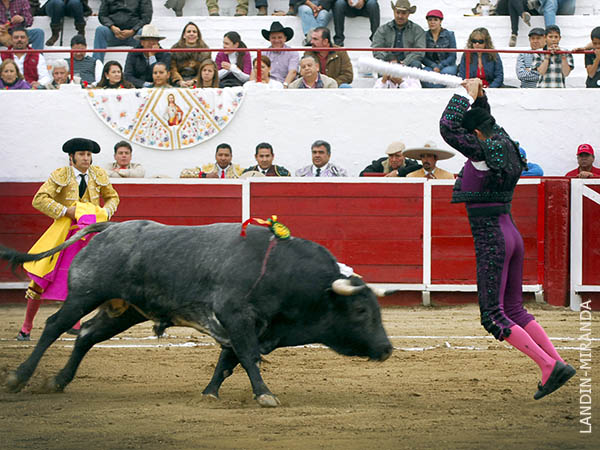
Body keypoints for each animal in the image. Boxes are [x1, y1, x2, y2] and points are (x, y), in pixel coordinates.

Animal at [1, 220, 394, 406]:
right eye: (361, 310)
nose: (387, 348)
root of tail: (111, 227)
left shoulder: (249, 327)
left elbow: (229, 361)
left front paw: (209, 394)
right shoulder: (237, 318)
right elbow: (247, 357)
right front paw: (265, 395)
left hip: (124, 311)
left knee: (86, 336)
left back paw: (59, 381)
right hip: (84, 295)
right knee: (55, 327)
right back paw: (19, 377)